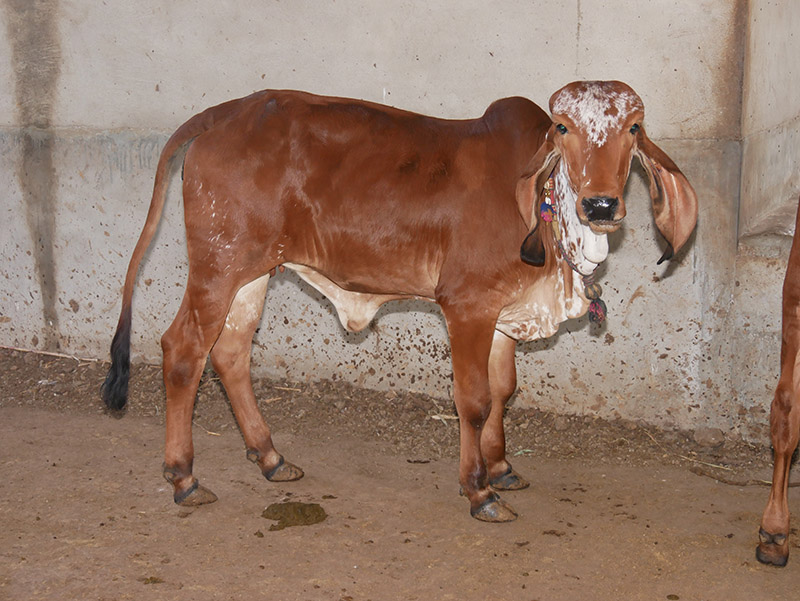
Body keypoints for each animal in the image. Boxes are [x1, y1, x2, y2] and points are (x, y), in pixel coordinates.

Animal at [103, 79, 696, 520]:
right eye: (564, 128)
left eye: (633, 127)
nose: (601, 205)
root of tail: (225, 113)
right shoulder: (468, 306)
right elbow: (474, 400)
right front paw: (479, 489)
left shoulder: (505, 314)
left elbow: (504, 391)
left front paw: (502, 467)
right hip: (218, 266)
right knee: (184, 351)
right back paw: (184, 477)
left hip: (252, 272)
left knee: (230, 353)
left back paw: (270, 456)